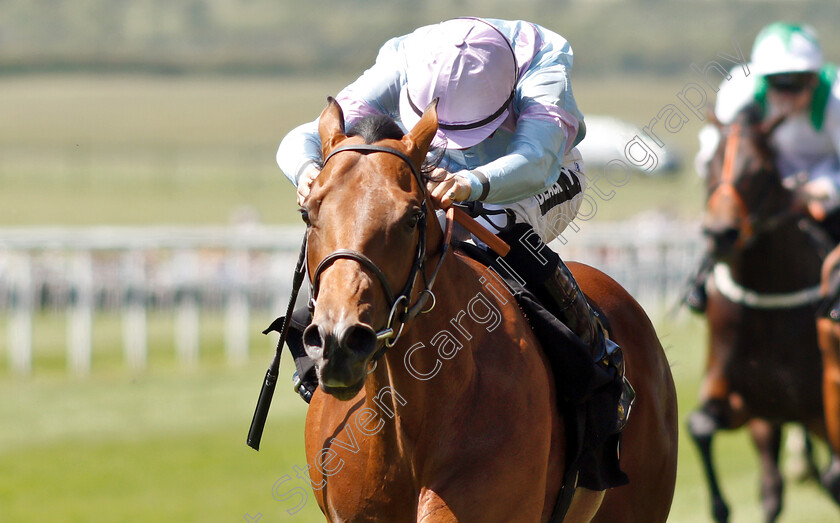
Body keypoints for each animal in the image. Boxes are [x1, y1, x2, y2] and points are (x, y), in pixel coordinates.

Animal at [688, 103, 840, 523]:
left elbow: (834, 476)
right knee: (773, 489)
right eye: (710, 163)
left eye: (760, 169)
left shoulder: (821, 410)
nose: (720, 234)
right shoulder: (745, 402)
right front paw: (720, 506)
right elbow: (699, 426)